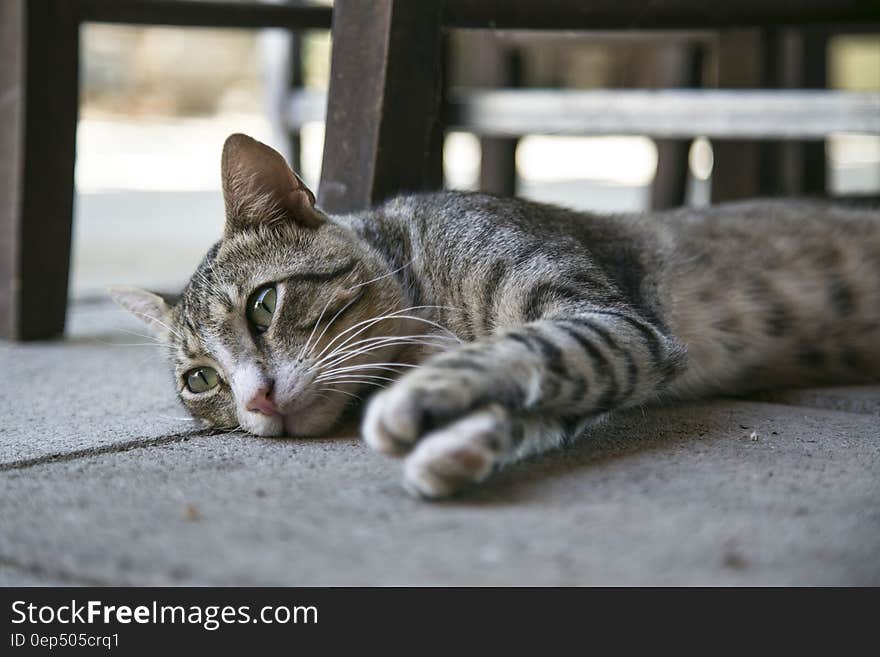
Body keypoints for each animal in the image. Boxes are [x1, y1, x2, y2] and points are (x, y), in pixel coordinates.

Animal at [111, 133, 880, 498]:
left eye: (264, 304)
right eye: (201, 381)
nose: (257, 399)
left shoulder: (613, 321)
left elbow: (537, 346)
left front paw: (419, 400)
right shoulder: (623, 357)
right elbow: (552, 396)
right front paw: (459, 446)